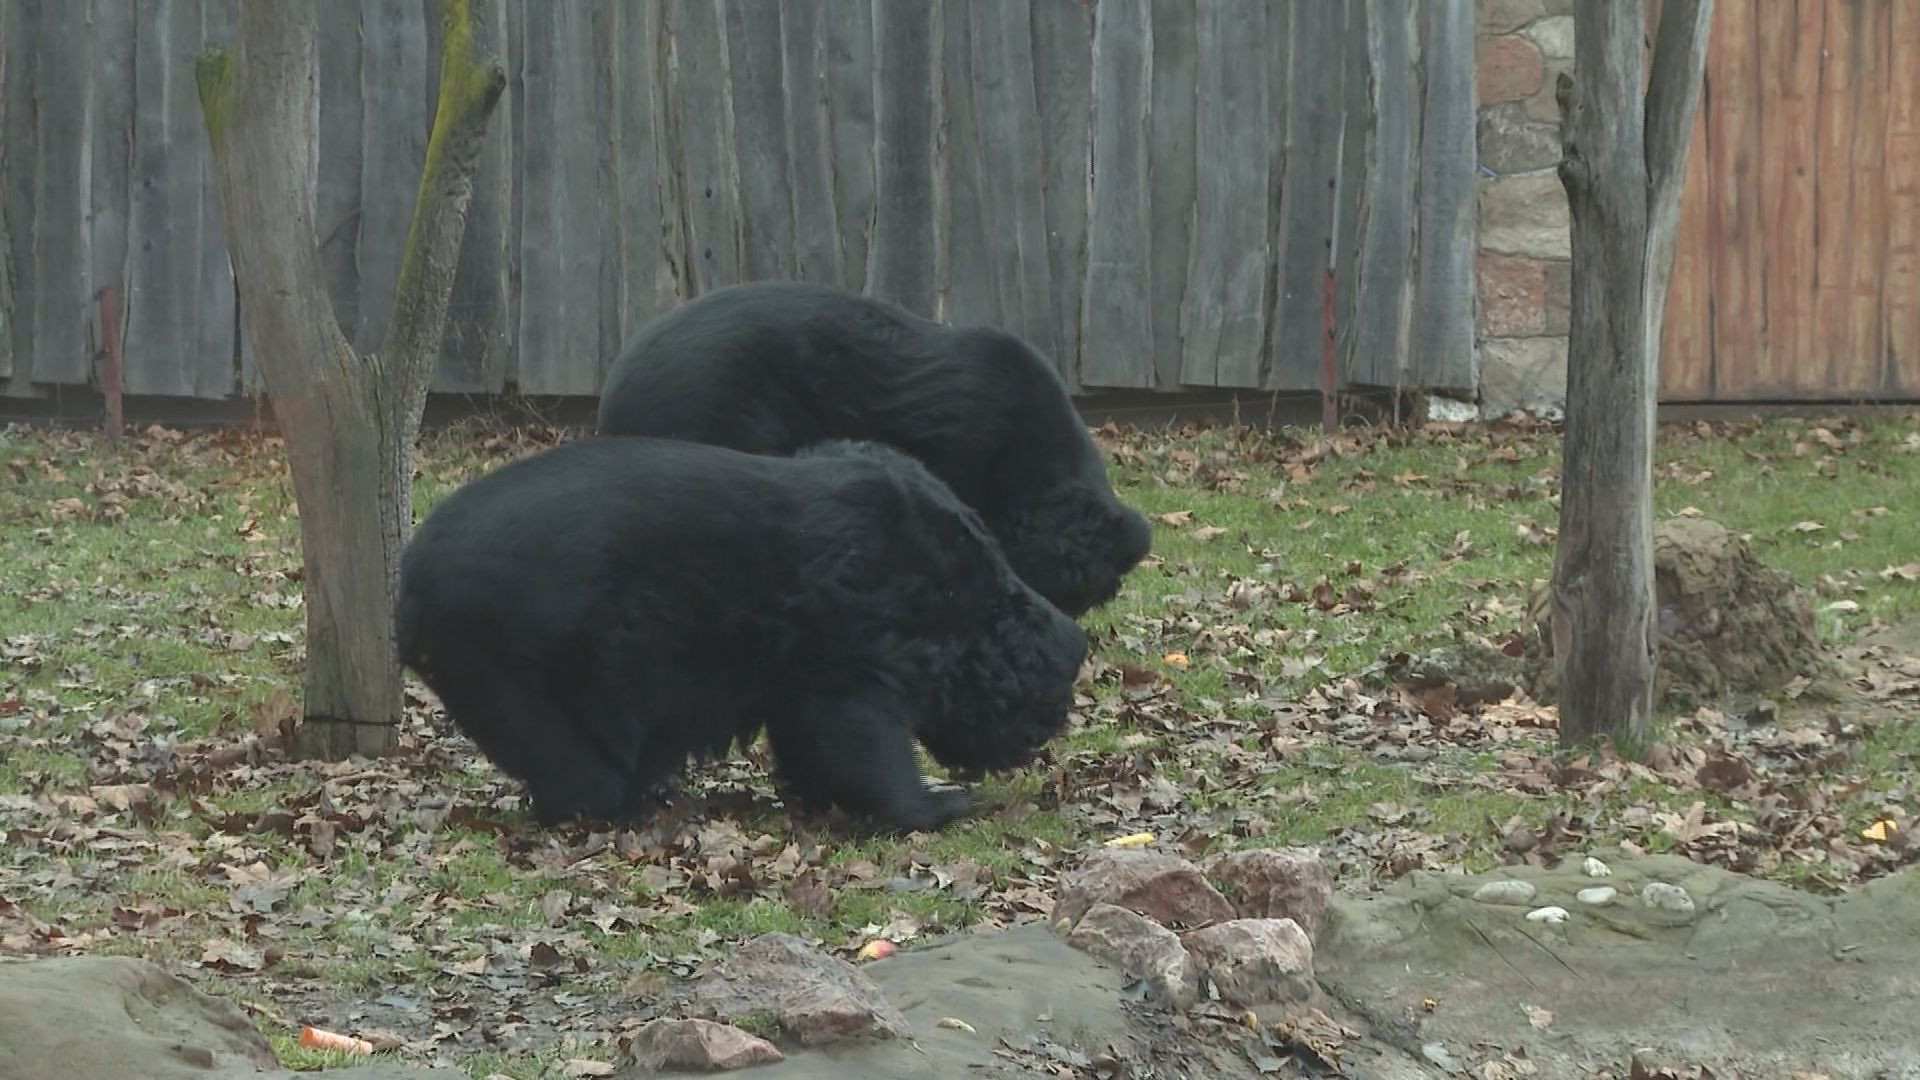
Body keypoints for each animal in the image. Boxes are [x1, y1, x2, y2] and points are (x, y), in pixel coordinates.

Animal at [395, 434, 1089, 834]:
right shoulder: (855, 624)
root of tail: (409, 586)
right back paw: (616, 808)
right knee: (579, 754)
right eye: (1044, 715)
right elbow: (856, 727)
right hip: (530, 651)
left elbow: (808, 728)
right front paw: (934, 805)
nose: (1026, 753)